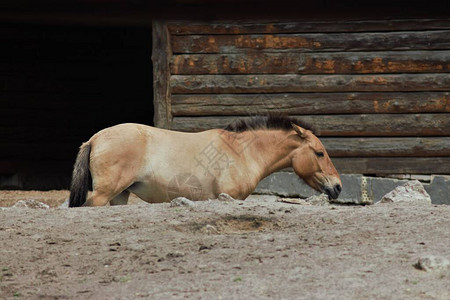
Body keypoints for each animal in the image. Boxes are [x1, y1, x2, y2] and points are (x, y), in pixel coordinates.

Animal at [68, 115, 342, 206]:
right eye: (320, 153)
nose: (338, 187)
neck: (241, 152)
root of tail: (94, 138)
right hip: (103, 194)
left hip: (120, 195)